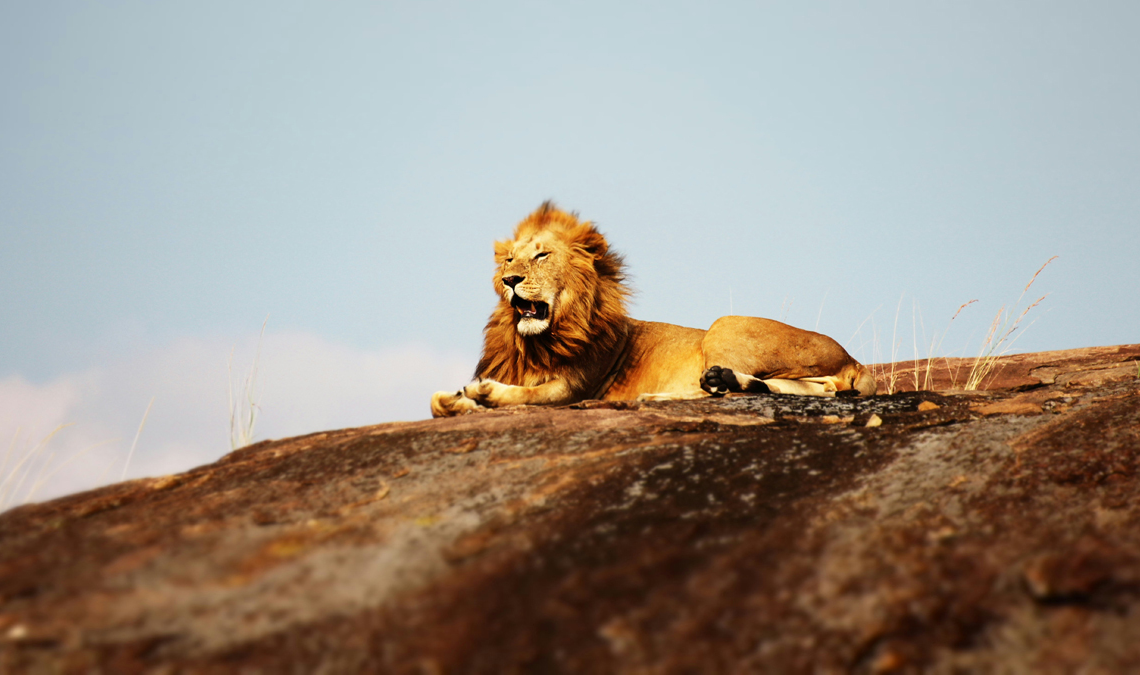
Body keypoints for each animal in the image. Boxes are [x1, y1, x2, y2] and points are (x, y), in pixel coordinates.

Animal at [431, 202, 876, 418]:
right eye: (508, 260)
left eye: (541, 256)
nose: (510, 280)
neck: (536, 343)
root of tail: (854, 359)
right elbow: (436, 401)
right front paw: (458, 400)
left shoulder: (573, 389)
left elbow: (525, 395)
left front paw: (484, 392)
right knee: (810, 388)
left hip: (724, 325)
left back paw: (673, 392)